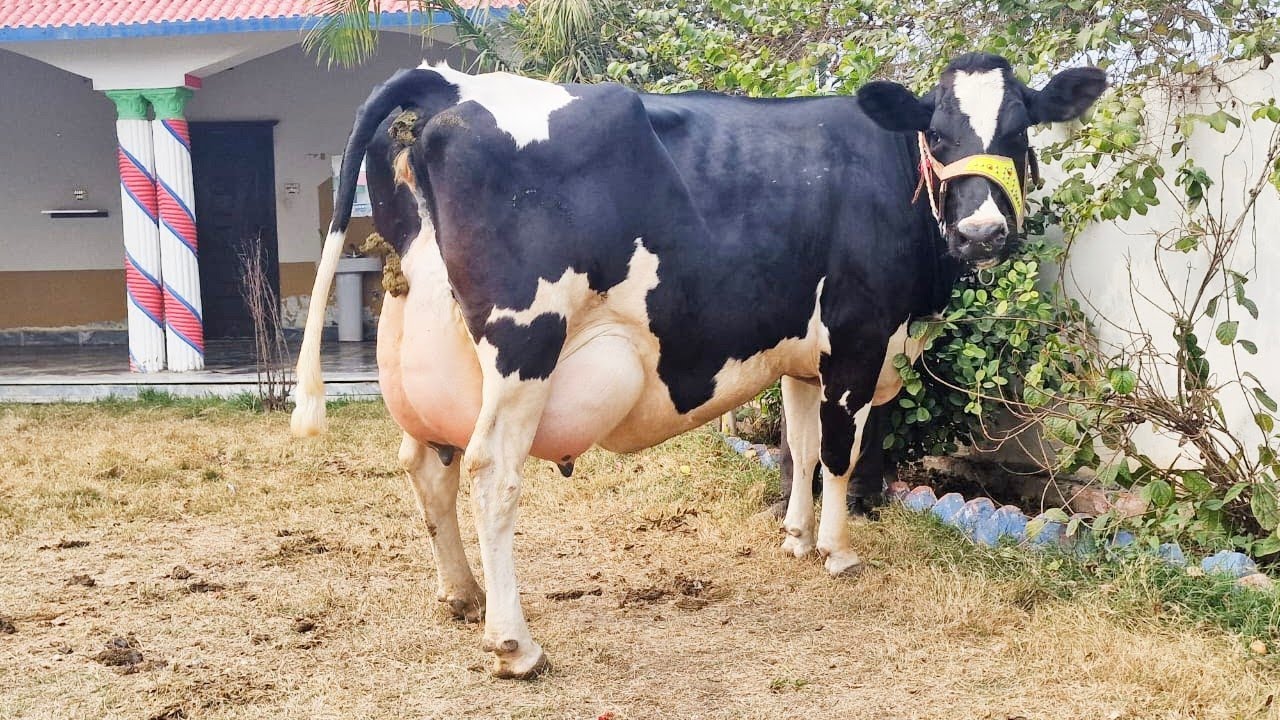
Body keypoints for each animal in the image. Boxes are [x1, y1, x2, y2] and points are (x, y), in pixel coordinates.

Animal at [290, 52, 1105, 679]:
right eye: (936, 132)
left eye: (1018, 129)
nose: (984, 232)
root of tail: (451, 83)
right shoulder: (858, 334)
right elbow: (839, 451)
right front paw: (838, 552)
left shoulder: (799, 351)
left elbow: (798, 441)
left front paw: (795, 537)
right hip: (524, 343)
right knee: (492, 469)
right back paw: (514, 643)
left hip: (425, 347)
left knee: (428, 461)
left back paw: (461, 595)